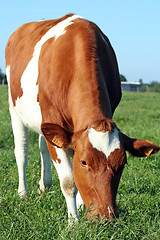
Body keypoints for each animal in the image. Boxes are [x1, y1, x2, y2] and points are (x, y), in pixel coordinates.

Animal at [5, 14, 159, 222]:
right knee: (22, 152)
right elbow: (69, 181)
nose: (106, 216)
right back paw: (23, 193)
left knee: (42, 146)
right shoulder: (56, 123)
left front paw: (81, 206)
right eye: (84, 162)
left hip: (43, 122)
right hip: (15, 110)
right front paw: (73, 221)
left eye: (122, 163)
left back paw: (45, 184)